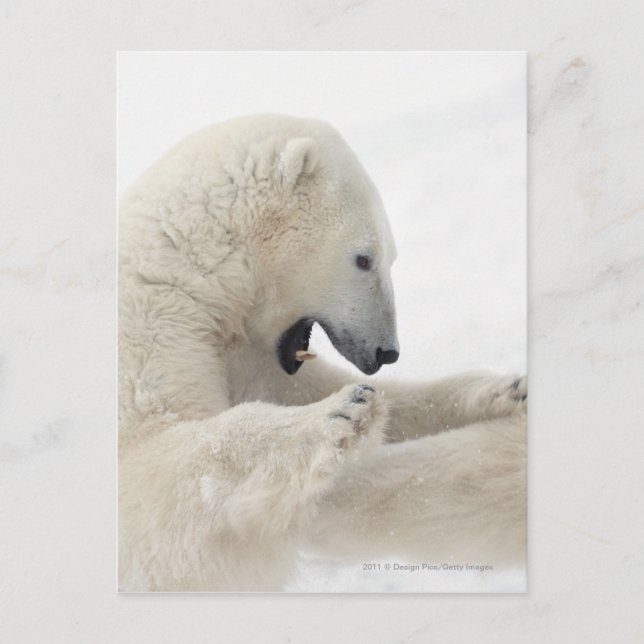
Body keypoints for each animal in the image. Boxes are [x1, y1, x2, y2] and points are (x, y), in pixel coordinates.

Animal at [118, 114, 526, 591]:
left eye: (390, 257)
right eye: (364, 259)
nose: (387, 351)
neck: (185, 266)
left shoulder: (246, 354)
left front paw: (503, 390)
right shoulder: (148, 324)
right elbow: (151, 467)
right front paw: (340, 412)